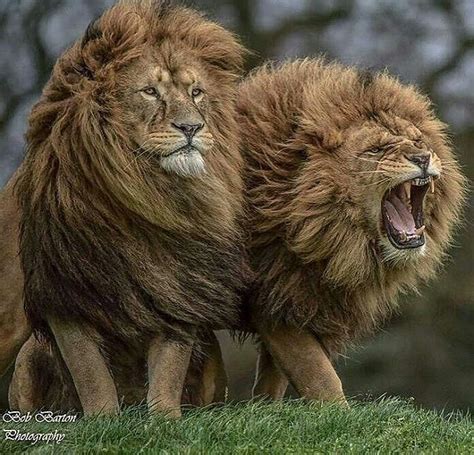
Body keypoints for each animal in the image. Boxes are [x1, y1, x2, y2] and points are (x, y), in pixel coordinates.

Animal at [0, 0, 250, 418]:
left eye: (197, 92)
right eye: (149, 91)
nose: (192, 128)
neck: (143, 196)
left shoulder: (176, 287)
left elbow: (168, 369)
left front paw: (164, 420)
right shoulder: (67, 293)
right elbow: (90, 371)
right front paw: (104, 420)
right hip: (24, 349)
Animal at [235, 59, 464, 402]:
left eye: (418, 141)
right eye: (377, 149)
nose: (422, 157)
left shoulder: (304, 300)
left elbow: (274, 377)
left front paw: (263, 408)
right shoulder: (273, 291)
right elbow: (317, 372)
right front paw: (337, 410)